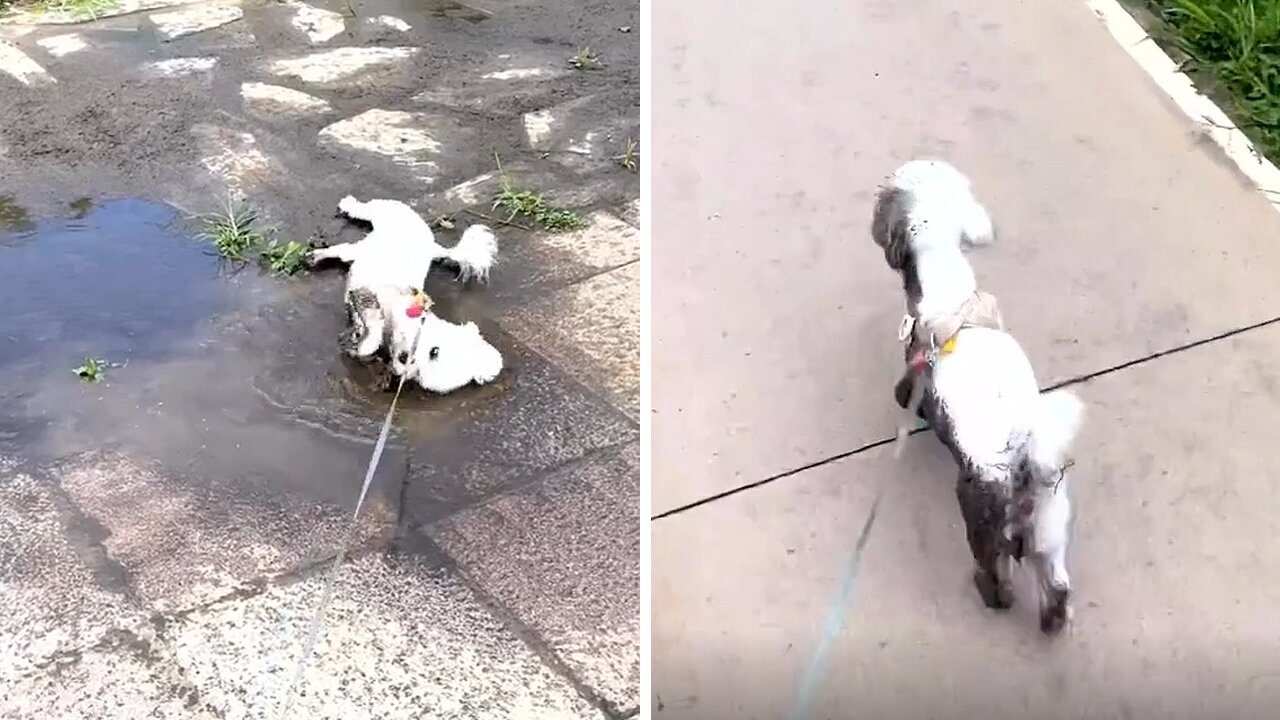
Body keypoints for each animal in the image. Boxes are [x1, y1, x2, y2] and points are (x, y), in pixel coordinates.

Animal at [308, 194, 504, 392]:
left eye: (419, 375)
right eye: (435, 351)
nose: (402, 363)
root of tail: (433, 245)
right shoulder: (374, 294)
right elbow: (372, 323)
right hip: (390, 214)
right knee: (362, 217)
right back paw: (347, 207)